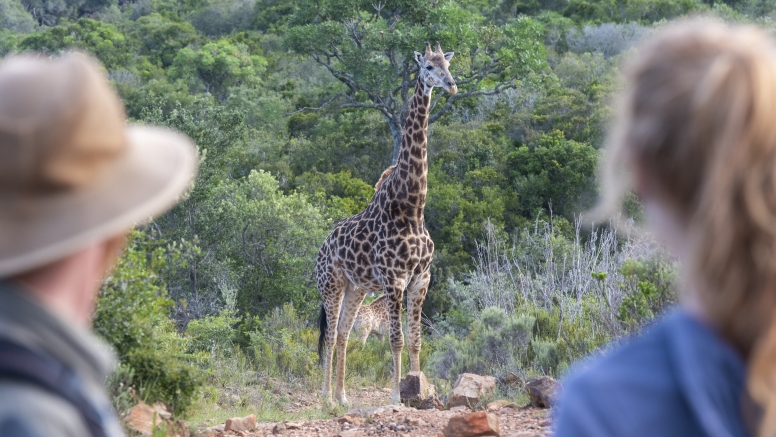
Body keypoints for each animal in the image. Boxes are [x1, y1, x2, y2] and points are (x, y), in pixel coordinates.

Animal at [318, 41, 458, 406]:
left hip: (356, 287)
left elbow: (416, 340)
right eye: (428, 67)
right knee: (329, 335)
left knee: (342, 333)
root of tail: (322, 247)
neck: (412, 207)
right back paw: (325, 396)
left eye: (448, 64)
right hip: (331, 284)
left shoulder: (421, 279)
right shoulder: (394, 280)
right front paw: (397, 395)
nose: (451, 85)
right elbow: (395, 339)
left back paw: (342, 397)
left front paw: (417, 388)